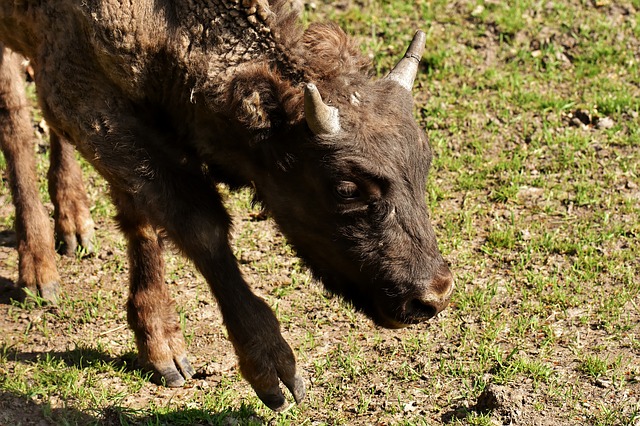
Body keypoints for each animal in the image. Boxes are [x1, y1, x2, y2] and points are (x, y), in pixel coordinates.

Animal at [2, 0, 458, 412]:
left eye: (426, 159)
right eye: (347, 188)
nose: (433, 296)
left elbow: (142, 218)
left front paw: (160, 343)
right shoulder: (89, 101)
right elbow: (200, 226)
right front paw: (271, 369)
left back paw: (73, 222)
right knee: (16, 123)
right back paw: (38, 270)